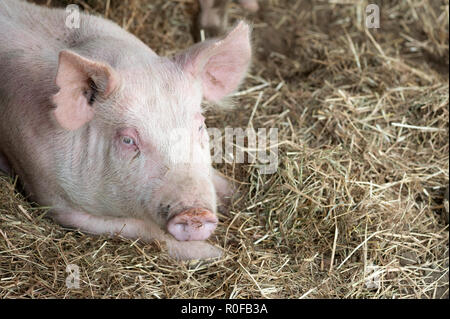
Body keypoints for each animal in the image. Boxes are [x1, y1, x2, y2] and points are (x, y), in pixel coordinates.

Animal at [0, 0, 251, 260]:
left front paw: (239, 195)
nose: (195, 213)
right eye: (128, 140)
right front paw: (217, 253)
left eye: (200, 126)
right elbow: (143, 228)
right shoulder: (54, 200)